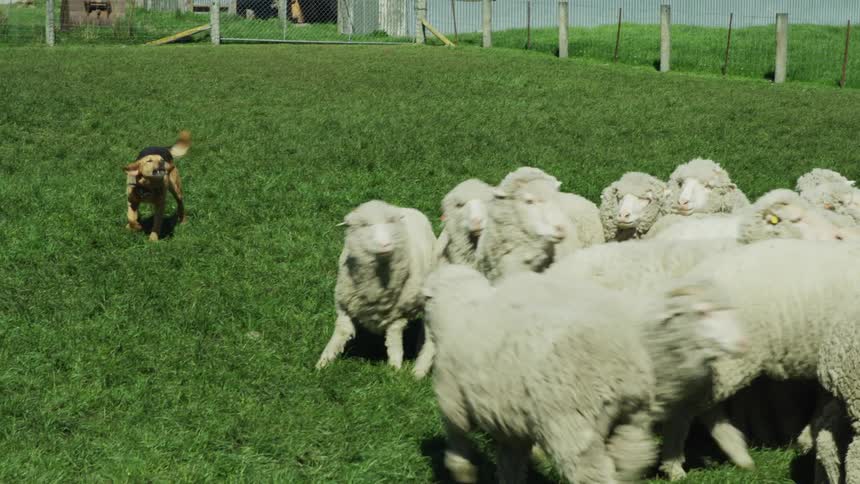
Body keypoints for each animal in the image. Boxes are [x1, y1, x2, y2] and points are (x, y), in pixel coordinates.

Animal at [315, 200, 437, 378]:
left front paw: (394, 369)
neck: (377, 286)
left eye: (390, 223)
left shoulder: (397, 314)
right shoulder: (345, 307)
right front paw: (323, 363)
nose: (385, 244)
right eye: (365, 225)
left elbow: (393, 342)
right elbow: (341, 333)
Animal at [656, 239, 860, 481]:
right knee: (685, 408)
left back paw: (738, 453)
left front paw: (806, 439)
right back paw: (674, 466)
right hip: (726, 359)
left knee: (705, 409)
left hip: (720, 364)